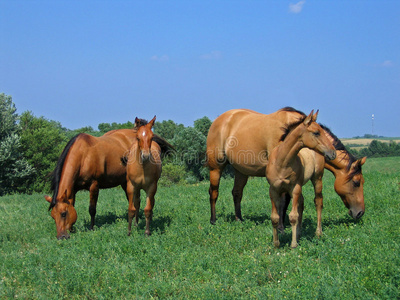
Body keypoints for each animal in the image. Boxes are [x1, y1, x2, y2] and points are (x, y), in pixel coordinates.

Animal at [268, 111, 336, 247]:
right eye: (316, 132)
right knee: (301, 203)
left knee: (318, 202)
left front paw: (293, 244)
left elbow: (293, 216)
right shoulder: (273, 190)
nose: (333, 153)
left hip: (317, 178)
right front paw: (276, 244)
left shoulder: (295, 188)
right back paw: (299, 234)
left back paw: (318, 232)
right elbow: (275, 217)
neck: (281, 162)